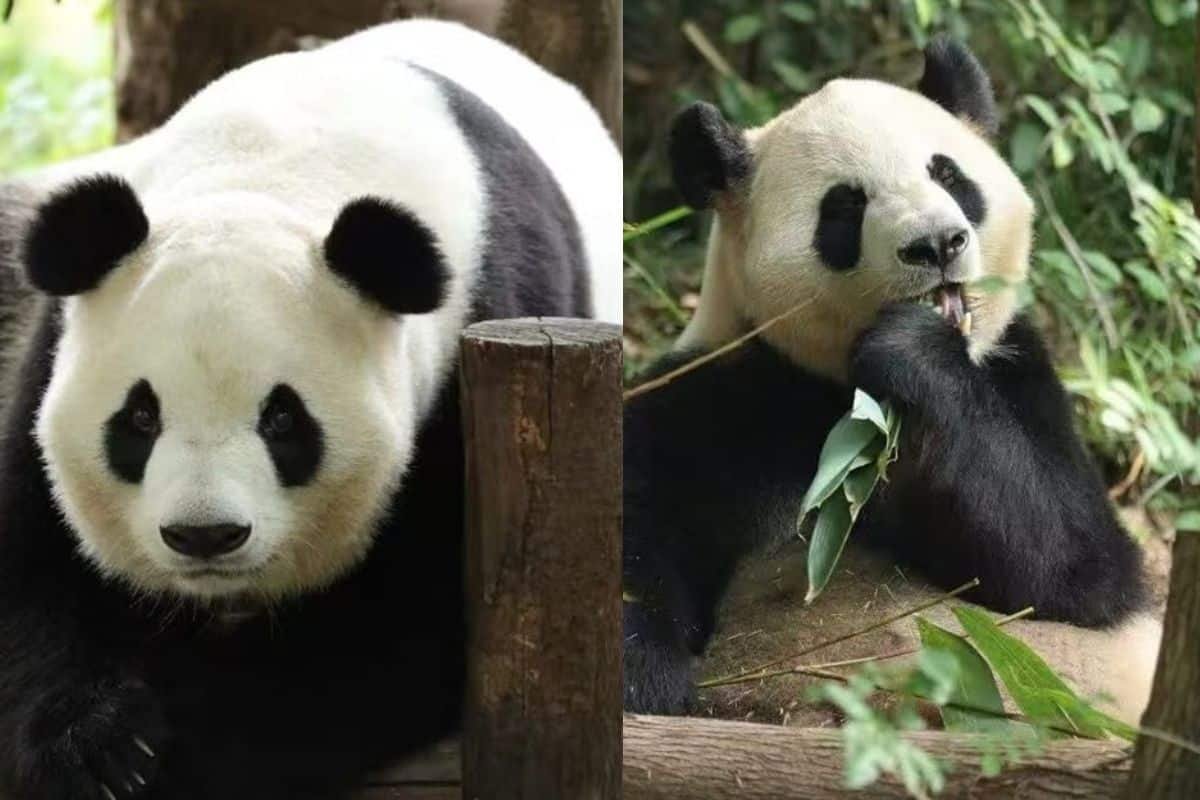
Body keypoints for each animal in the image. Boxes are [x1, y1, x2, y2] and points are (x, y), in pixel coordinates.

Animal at [0, 19, 618, 800]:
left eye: (283, 420)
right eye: (139, 419)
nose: (205, 536)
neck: (267, 175)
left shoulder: (471, 350)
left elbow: (387, 641)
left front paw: (162, 744)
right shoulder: (58, 340)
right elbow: (34, 568)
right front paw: (97, 744)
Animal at [623, 38, 1160, 722]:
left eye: (949, 175)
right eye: (846, 205)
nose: (937, 243)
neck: (844, 394)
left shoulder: (1017, 373)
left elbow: (1076, 570)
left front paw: (913, 350)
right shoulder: (721, 393)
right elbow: (637, 539)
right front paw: (647, 685)